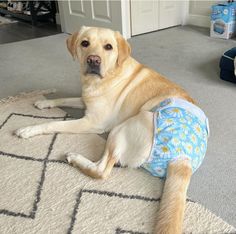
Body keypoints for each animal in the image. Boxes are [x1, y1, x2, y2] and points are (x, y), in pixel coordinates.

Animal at [15, 26, 209, 233]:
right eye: (85, 43)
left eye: (108, 47)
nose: (93, 60)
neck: (106, 77)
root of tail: (182, 158)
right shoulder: (85, 101)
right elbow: (64, 98)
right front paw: (44, 102)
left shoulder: (92, 122)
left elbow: (53, 124)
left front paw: (29, 129)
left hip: (123, 127)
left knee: (102, 170)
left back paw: (75, 158)